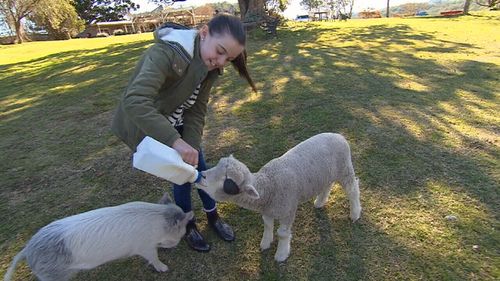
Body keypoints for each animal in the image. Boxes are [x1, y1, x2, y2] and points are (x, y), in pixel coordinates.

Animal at [3, 192, 193, 280]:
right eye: (182, 230)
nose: (176, 244)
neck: (158, 223)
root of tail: (28, 249)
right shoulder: (144, 246)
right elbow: (153, 257)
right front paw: (165, 268)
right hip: (51, 275)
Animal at [197, 132, 362, 262]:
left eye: (228, 182)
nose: (201, 175)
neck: (269, 185)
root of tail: (339, 135)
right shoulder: (268, 210)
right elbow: (268, 225)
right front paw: (265, 242)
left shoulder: (288, 210)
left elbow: (282, 234)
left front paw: (281, 254)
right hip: (326, 174)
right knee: (327, 185)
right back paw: (320, 202)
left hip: (345, 169)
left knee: (353, 190)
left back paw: (355, 214)